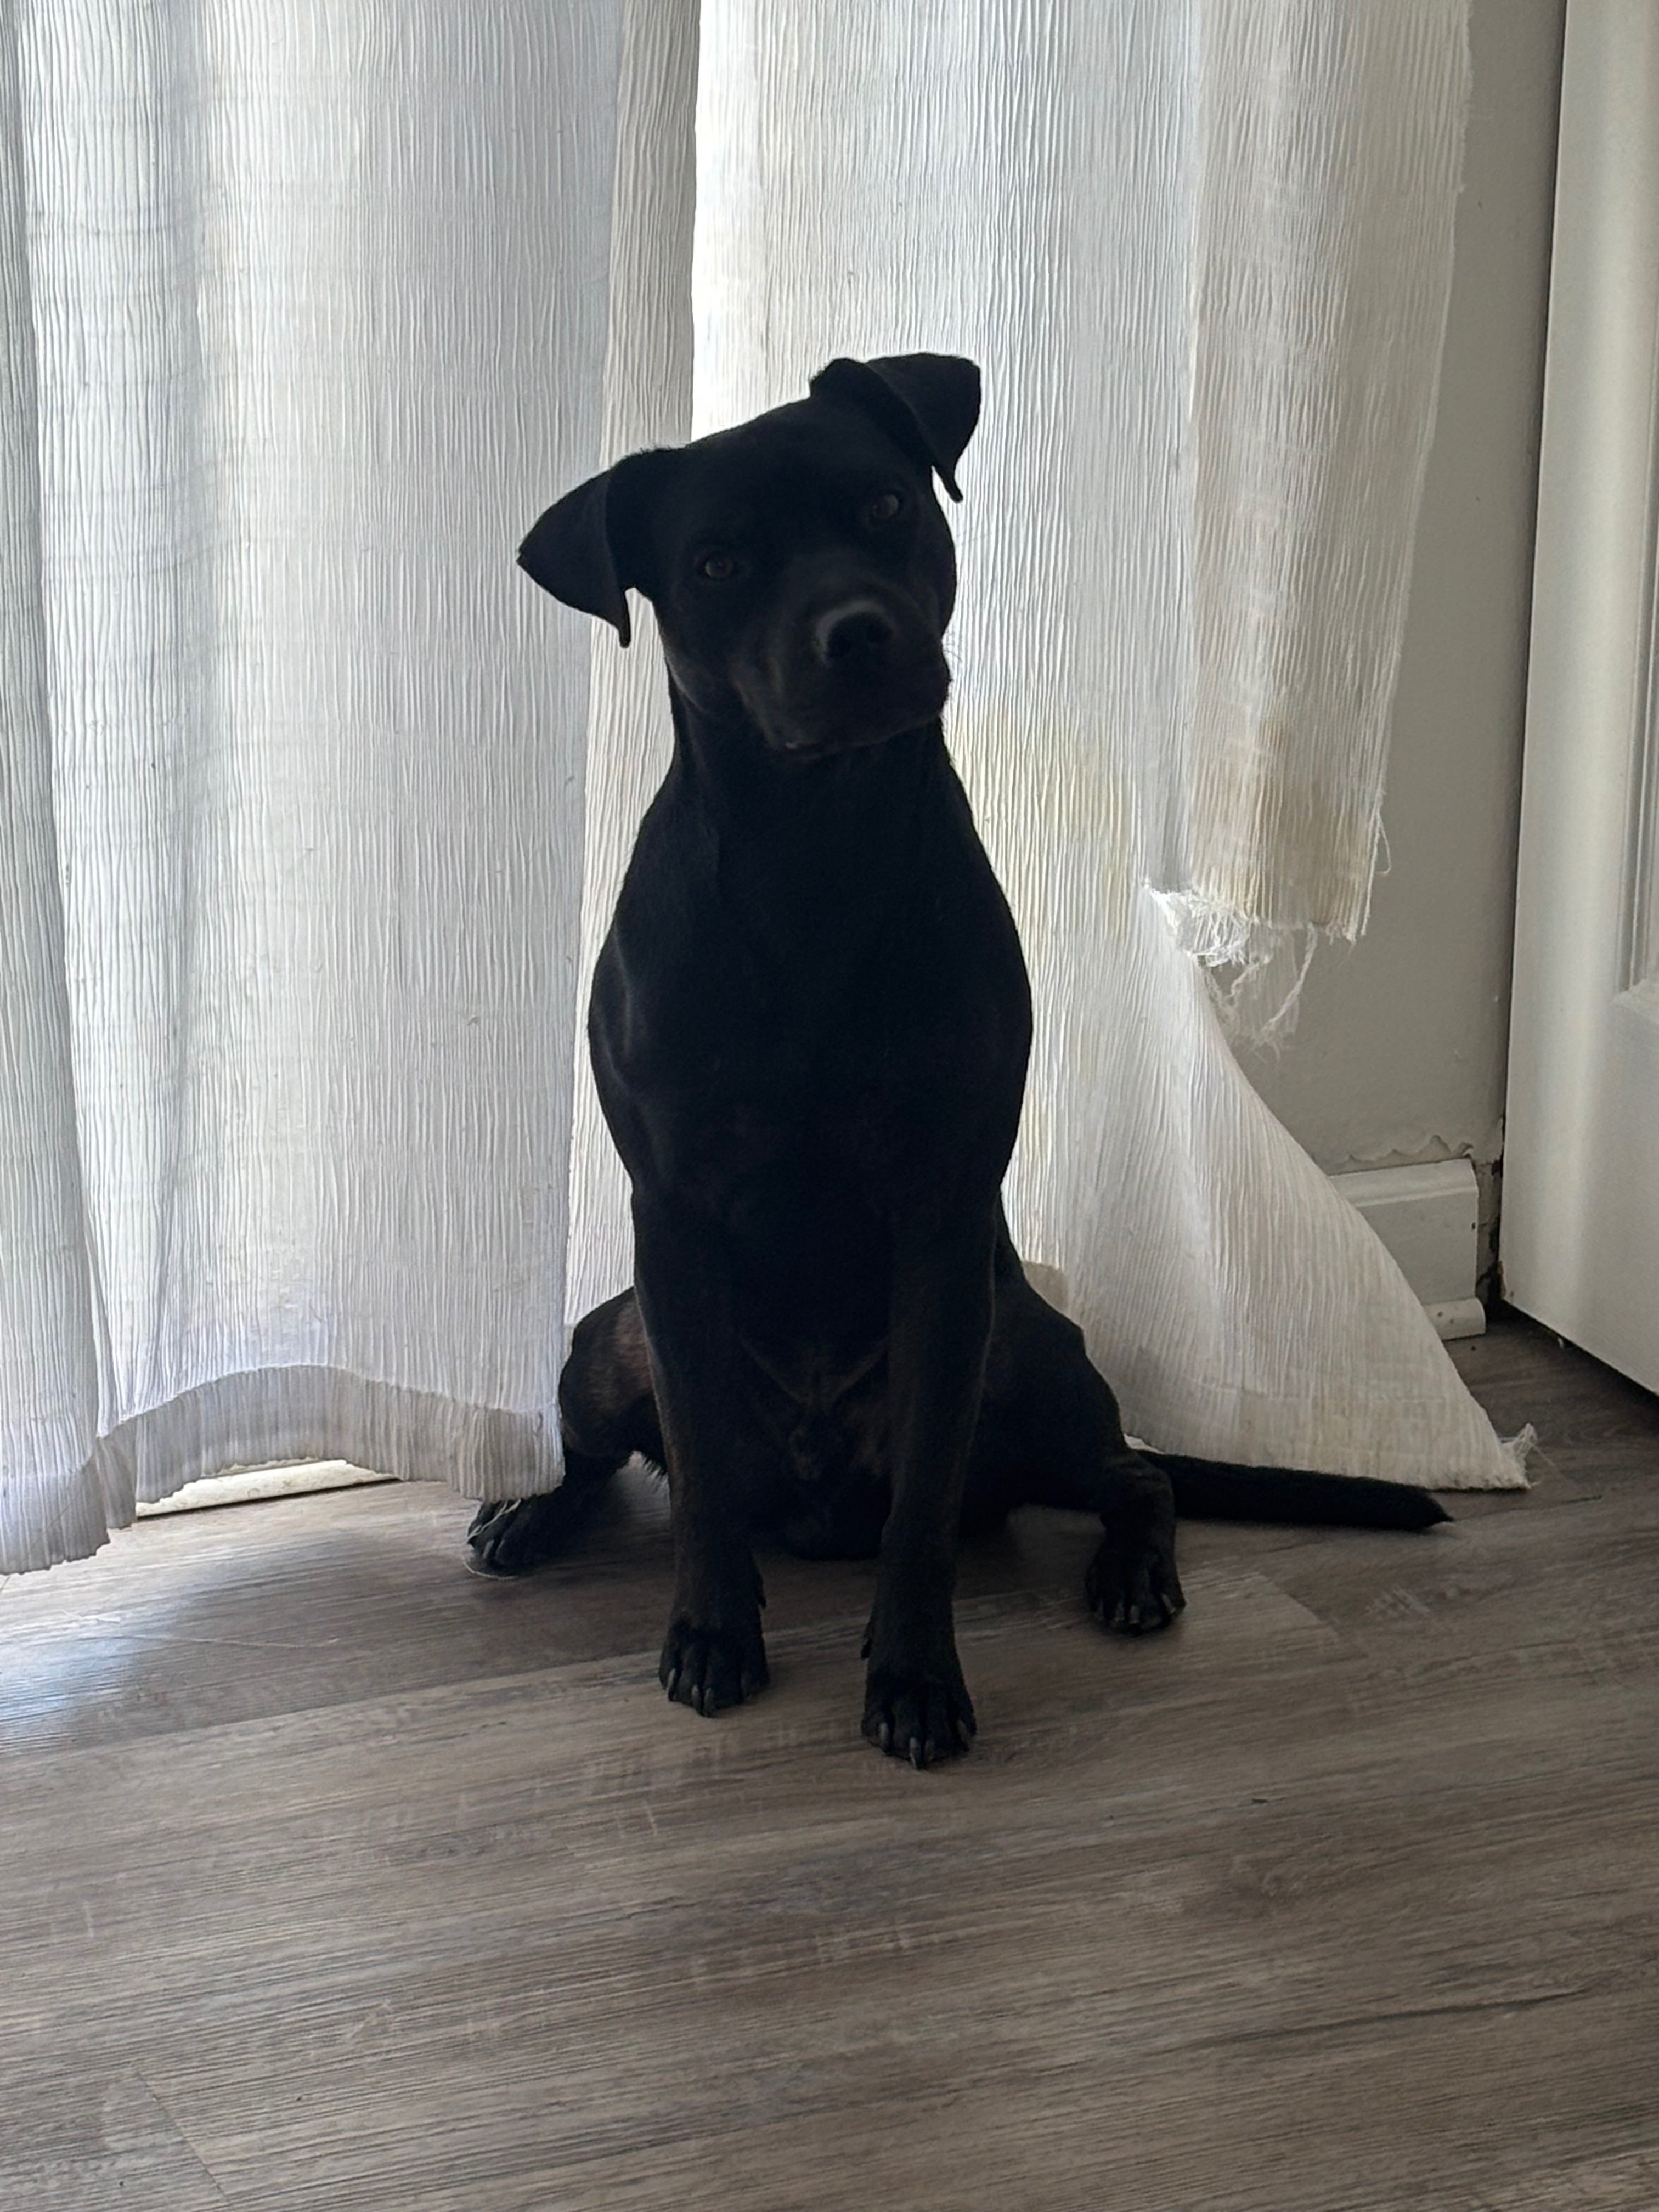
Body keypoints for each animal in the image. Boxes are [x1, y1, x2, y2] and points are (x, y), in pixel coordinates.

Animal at [470, 353, 1446, 1766]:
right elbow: (698, 1475)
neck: (814, 855)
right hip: (611, 1343)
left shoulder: (939, 1230)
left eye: (886, 504)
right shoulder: (677, 1220)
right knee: (612, 1460)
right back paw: (531, 1514)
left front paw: (917, 1673)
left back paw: (1133, 1575)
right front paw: (711, 1630)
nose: (859, 632)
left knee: (1135, 1476)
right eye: (717, 563)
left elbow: (923, 1507)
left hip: (1020, 1363)